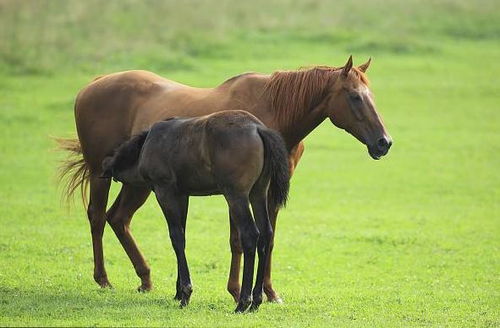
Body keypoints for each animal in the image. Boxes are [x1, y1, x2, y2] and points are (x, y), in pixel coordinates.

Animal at [58, 55, 392, 304]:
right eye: (354, 97)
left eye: (372, 96)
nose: (383, 143)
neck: (273, 114)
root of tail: (94, 84)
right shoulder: (237, 192)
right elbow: (239, 240)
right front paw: (236, 292)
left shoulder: (268, 192)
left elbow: (268, 238)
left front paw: (268, 293)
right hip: (103, 176)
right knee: (97, 217)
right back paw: (103, 278)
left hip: (138, 184)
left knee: (118, 218)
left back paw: (145, 278)